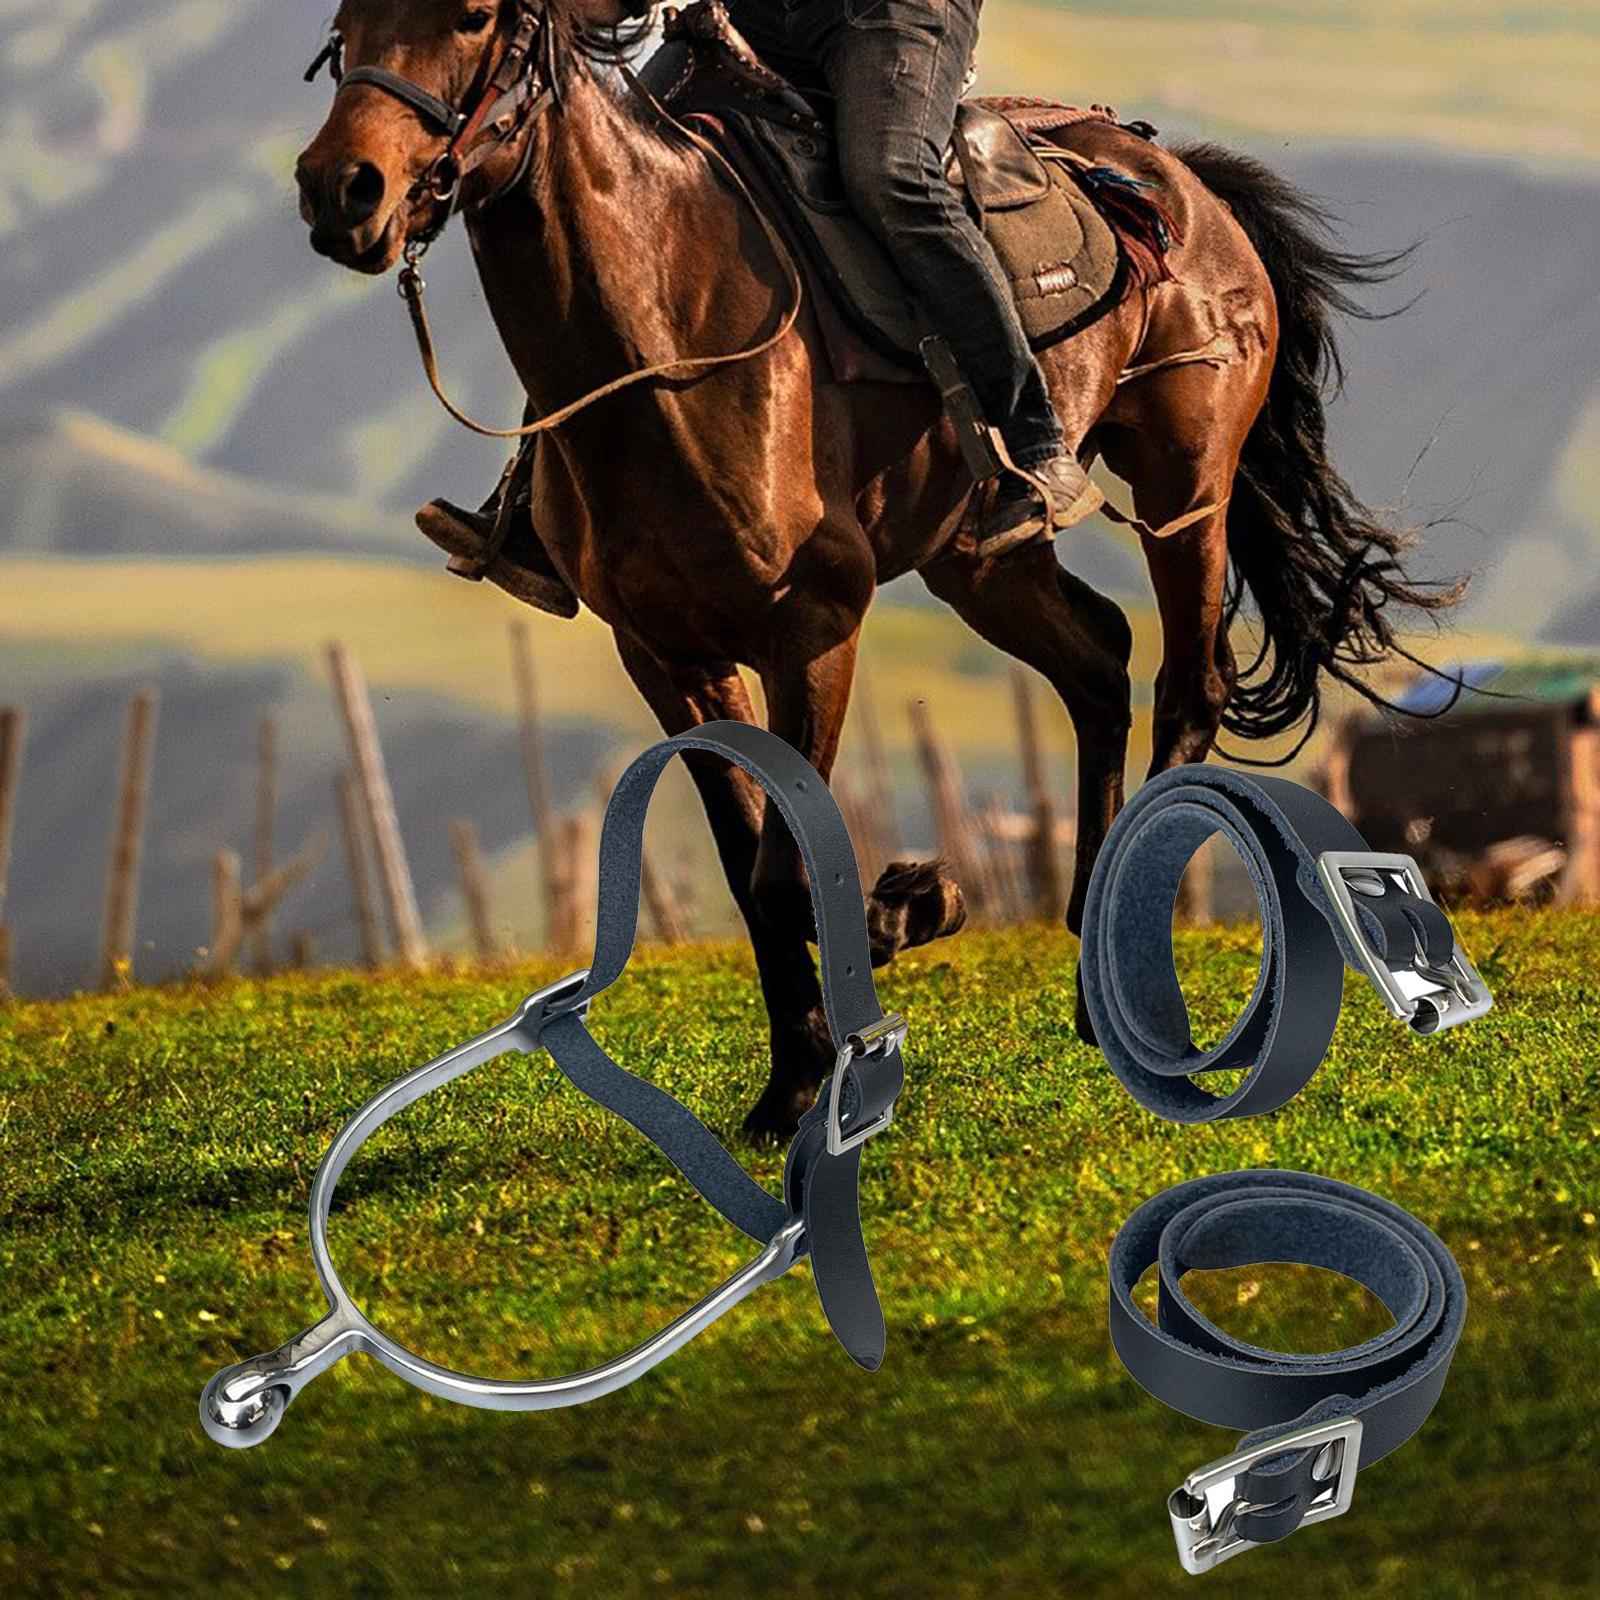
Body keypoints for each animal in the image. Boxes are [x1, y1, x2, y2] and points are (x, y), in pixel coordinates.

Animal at [295, 0, 1457, 1136]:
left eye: (470, 18)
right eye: (347, 23)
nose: (341, 188)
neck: (668, 334)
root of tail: (1184, 183)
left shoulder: (813, 629)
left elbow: (784, 861)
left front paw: (908, 910)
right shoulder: (666, 654)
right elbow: (746, 859)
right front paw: (793, 1080)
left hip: (1186, 485)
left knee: (1187, 685)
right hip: (976, 560)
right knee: (1096, 661)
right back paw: (1089, 964)